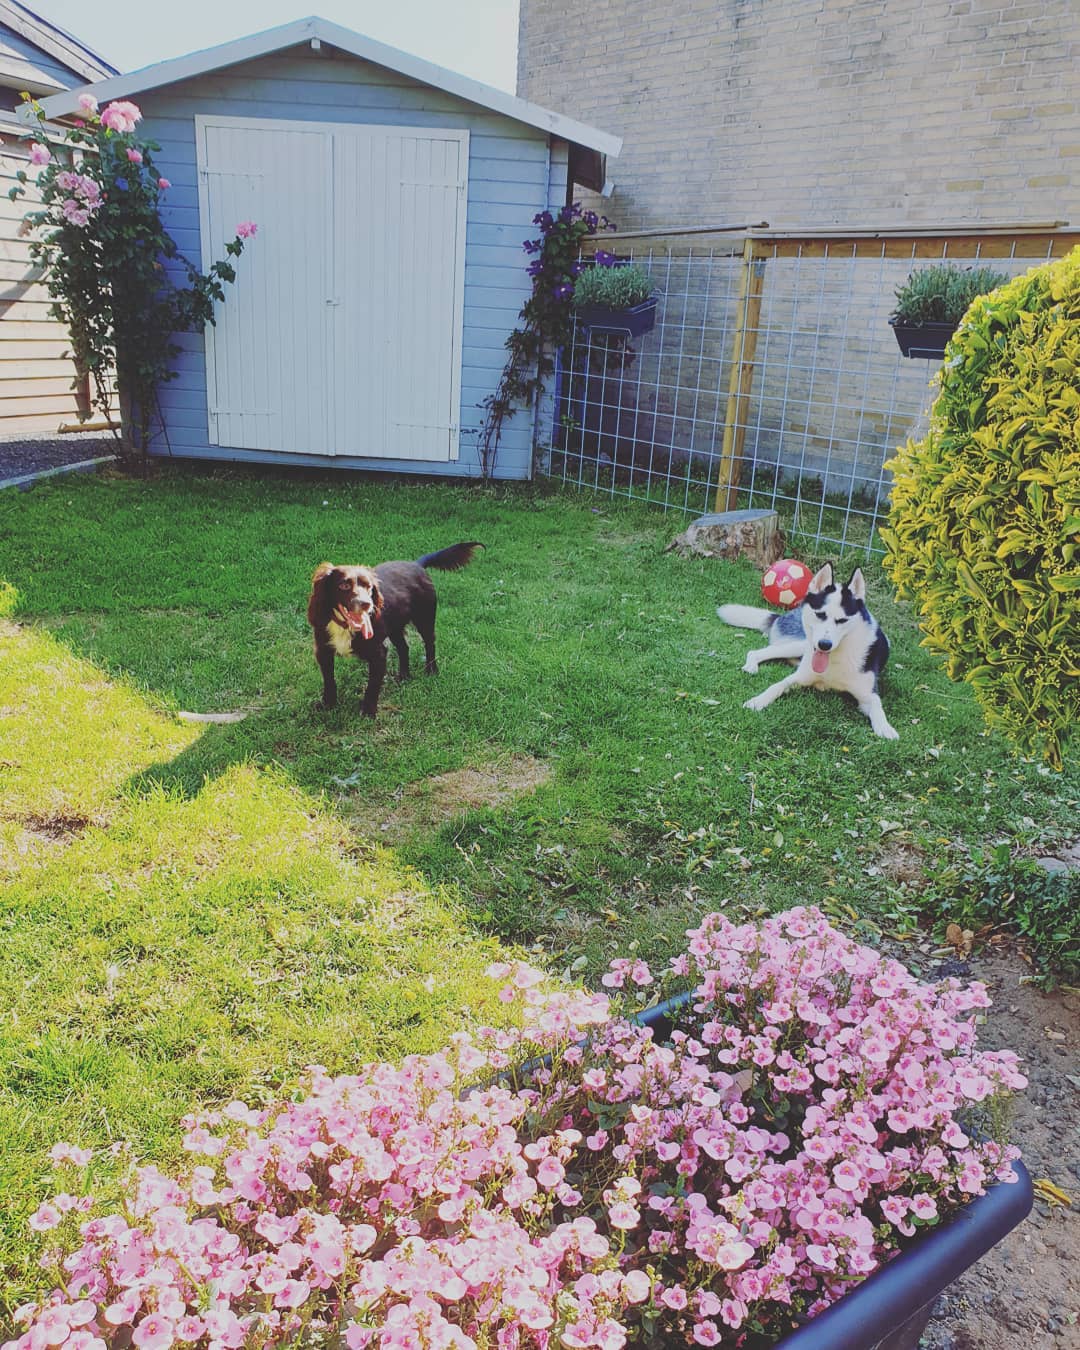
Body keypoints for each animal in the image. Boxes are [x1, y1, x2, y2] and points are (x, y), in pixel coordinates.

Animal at [310, 540, 483, 718]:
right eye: (344, 585)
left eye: (369, 587)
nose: (367, 605)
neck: (345, 626)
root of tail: (416, 564)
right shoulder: (323, 650)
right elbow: (329, 680)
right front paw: (328, 704)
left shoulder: (378, 654)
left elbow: (372, 686)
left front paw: (368, 712)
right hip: (395, 627)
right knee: (404, 648)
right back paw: (404, 676)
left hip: (425, 619)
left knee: (430, 644)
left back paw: (431, 670)